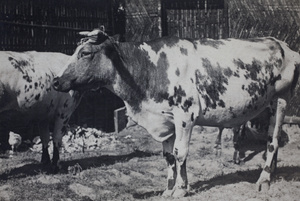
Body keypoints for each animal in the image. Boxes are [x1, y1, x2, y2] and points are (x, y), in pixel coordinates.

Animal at [52, 29, 300, 197]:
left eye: (85, 53)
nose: (56, 81)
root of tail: (282, 44)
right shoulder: (165, 119)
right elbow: (169, 156)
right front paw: (169, 189)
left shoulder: (185, 116)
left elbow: (181, 153)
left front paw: (180, 189)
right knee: (272, 141)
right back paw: (272, 172)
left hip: (281, 99)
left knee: (272, 142)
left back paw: (264, 179)